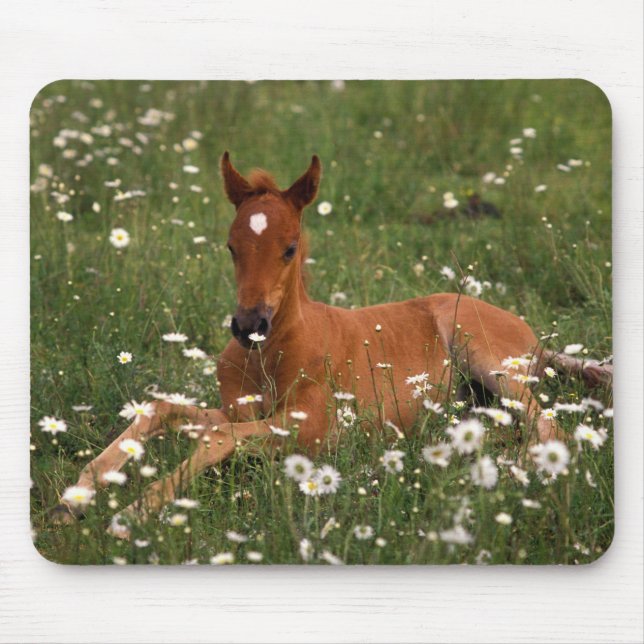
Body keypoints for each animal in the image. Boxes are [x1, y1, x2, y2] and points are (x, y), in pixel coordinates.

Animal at [55, 153, 611, 532]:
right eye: (231, 246)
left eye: (289, 248)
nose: (248, 324)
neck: (272, 355)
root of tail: (535, 339)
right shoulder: (239, 411)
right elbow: (164, 409)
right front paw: (77, 494)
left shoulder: (314, 432)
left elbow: (215, 438)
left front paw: (132, 512)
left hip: (485, 354)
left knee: (551, 429)